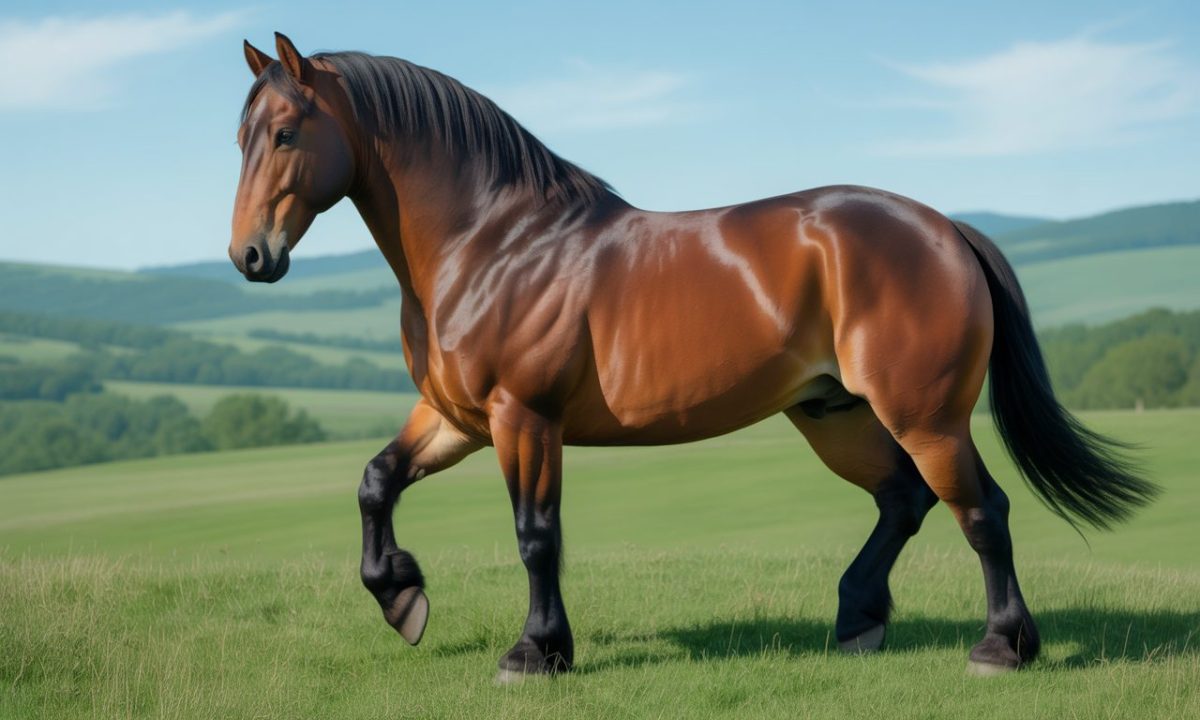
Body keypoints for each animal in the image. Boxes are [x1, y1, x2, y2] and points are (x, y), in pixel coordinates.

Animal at [229, 33, 1156, 681]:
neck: (495, 242)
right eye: (241, 137)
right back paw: (858, 621)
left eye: (285, 134)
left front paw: (537, 652)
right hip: (834, 414)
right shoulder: (456, 416)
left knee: (981, 511)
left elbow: (536, 535)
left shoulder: (523, 419)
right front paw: (401, 596)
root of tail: (946, 229)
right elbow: (375, 481)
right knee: (903, 500)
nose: (249, 256)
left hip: (924, 415)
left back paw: (1001, 647)